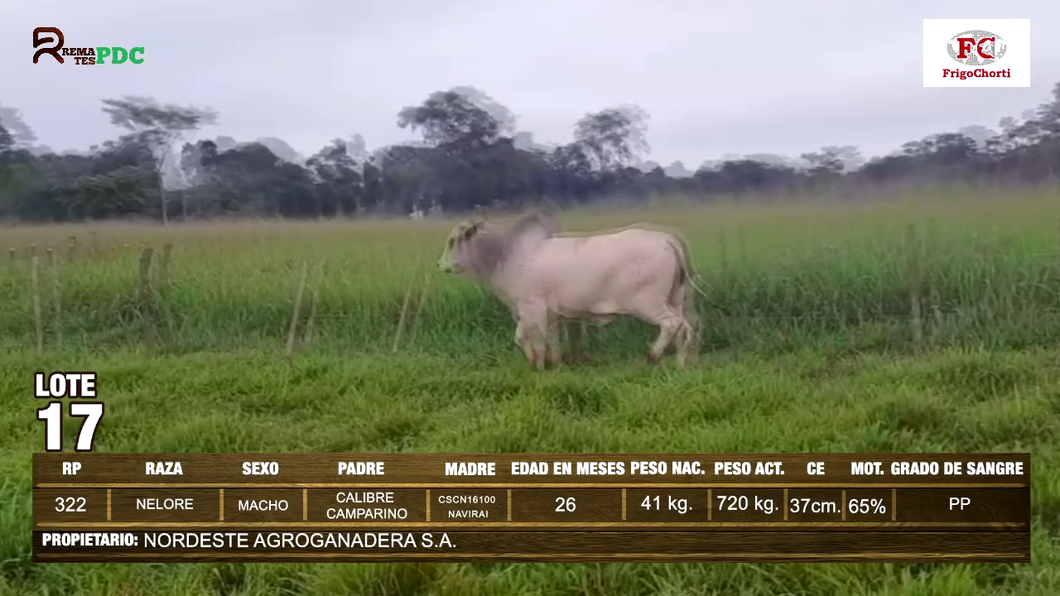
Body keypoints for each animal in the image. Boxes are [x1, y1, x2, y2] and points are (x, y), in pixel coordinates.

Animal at [434, 211, 708, 369]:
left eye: (452, 242)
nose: (440, 265)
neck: (506, 254)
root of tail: (667, 238)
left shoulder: (530, 309)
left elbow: (526, 338)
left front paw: (536, 365)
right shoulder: (553, 314)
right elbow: (552, 341)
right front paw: (554, 364)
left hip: (649, 304)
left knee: (672, 324)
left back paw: (653, 356)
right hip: (676, 299)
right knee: (687, 327)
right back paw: (682, 362)